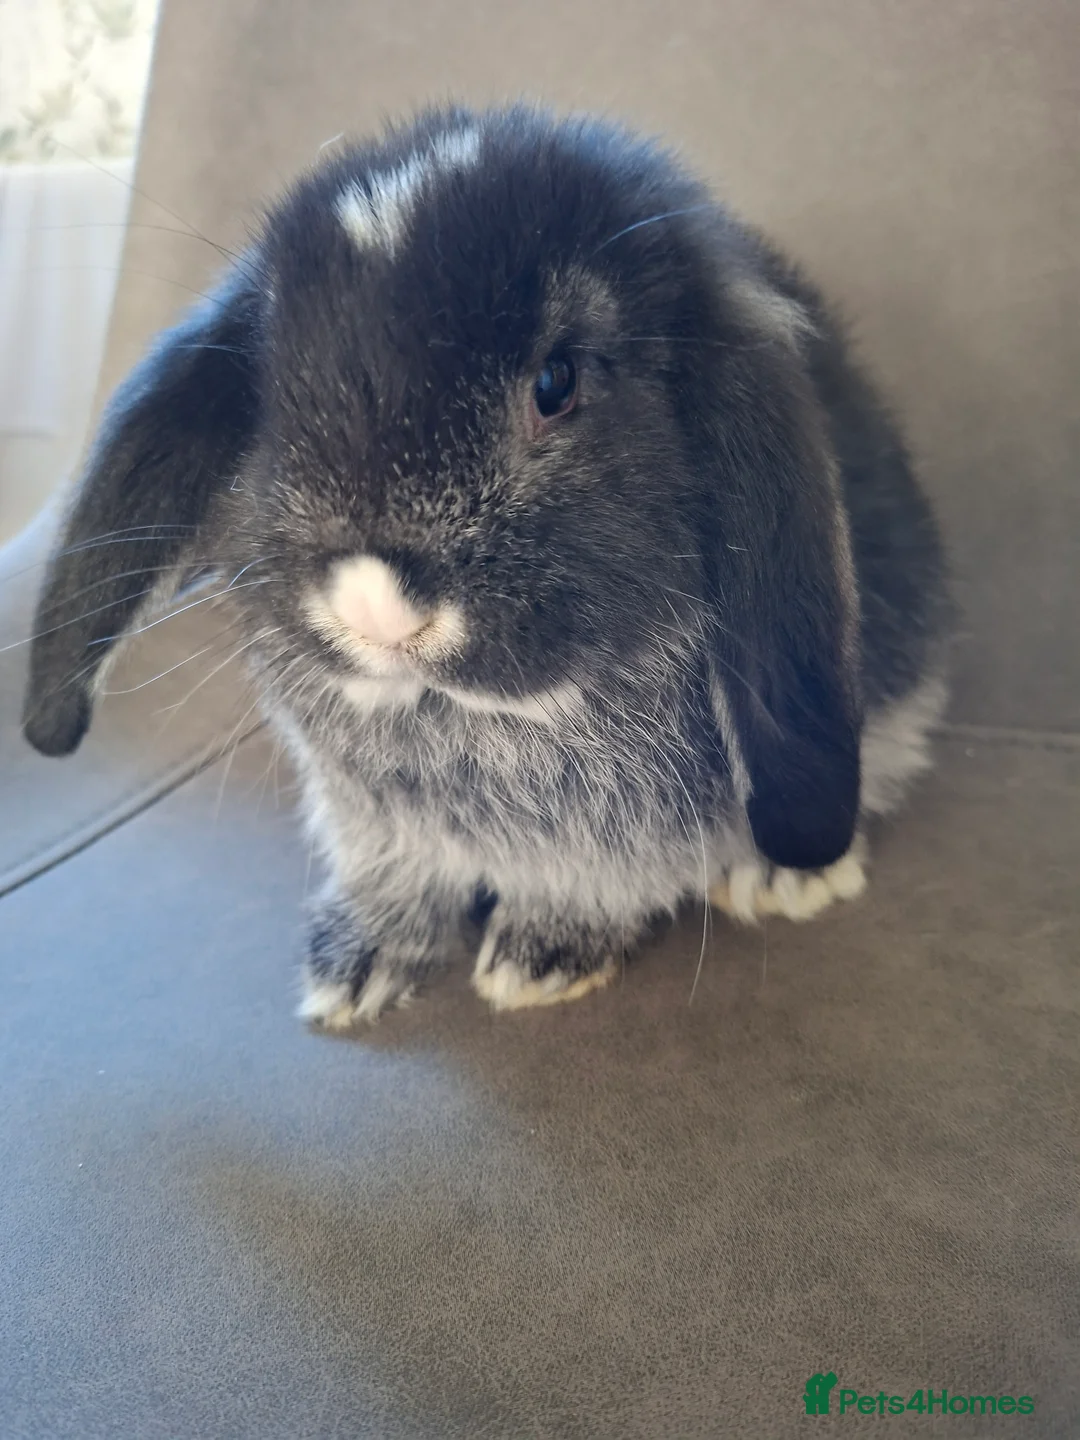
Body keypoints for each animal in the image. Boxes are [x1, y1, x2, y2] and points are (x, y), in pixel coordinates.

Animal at [22, 104, 951, 1023]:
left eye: (557, 381)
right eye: (274, 401)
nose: (374, 610)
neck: (473, 730)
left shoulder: (630, 825)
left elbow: (612, 871)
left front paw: (539, 957)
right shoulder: (371, 820)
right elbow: (392, 871)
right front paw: (353, 966)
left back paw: (779, 879)